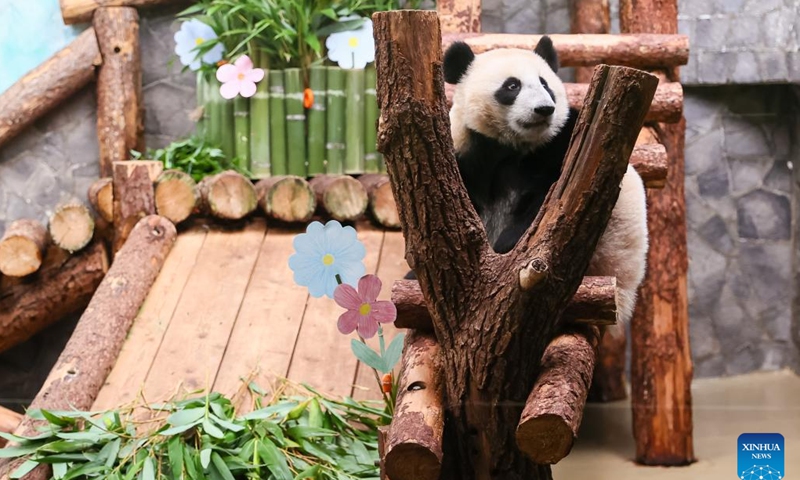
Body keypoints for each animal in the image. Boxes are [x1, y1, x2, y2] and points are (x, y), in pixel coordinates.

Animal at [410, 35, 648, 324]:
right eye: (512, 85)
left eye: (545, 83)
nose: (544, 109)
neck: (511, 145)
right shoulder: (466, 155)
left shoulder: (565, 143)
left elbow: (551, 205)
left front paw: (508, 248)